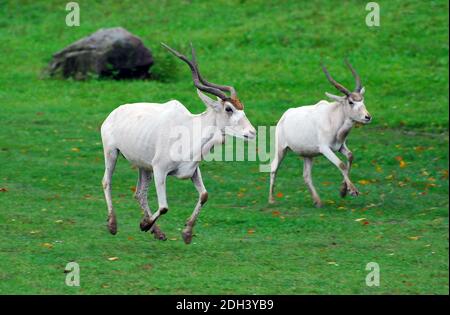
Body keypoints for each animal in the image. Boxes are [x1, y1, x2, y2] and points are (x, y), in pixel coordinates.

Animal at [102, 43, 256, 244]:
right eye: (229, 109)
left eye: (241, 107)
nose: (252, 132)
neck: (188, 130)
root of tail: (113, 113)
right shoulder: (160, 170)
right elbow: (164, 206)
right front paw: (144, 225)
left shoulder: (192, 169)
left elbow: (204, 195)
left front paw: (187, 233)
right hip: (112, 153)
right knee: (107, 182)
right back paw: (113, 225)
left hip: (144, 167)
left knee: (140, 193)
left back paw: (157, 232)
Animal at [268, 60, 370, 209]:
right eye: (351, 102)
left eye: (362, 101)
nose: (367, 117)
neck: (333, 117)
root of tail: (285, 116)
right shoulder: (325, 149)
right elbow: (341, 164)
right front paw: (352, 191)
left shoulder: (340, 146)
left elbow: (350, 157)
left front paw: (343, 191)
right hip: (281, 149)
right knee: (274, 168)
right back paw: (271, 199)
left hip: (308, 155)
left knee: (306, 175)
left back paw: (317, 201)